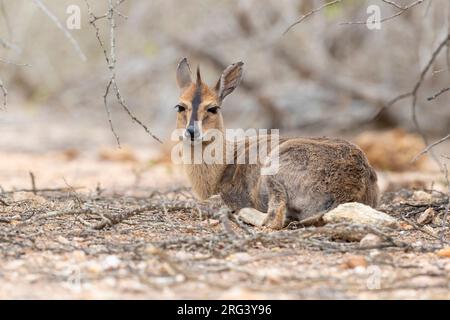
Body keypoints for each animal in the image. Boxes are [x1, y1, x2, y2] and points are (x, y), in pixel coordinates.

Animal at [174, 58, 378, 229]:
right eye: (180, 106)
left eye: (213, 108)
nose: (192, 131)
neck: (223, 165)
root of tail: (352, 184)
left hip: (272, 174)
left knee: (274, 219)